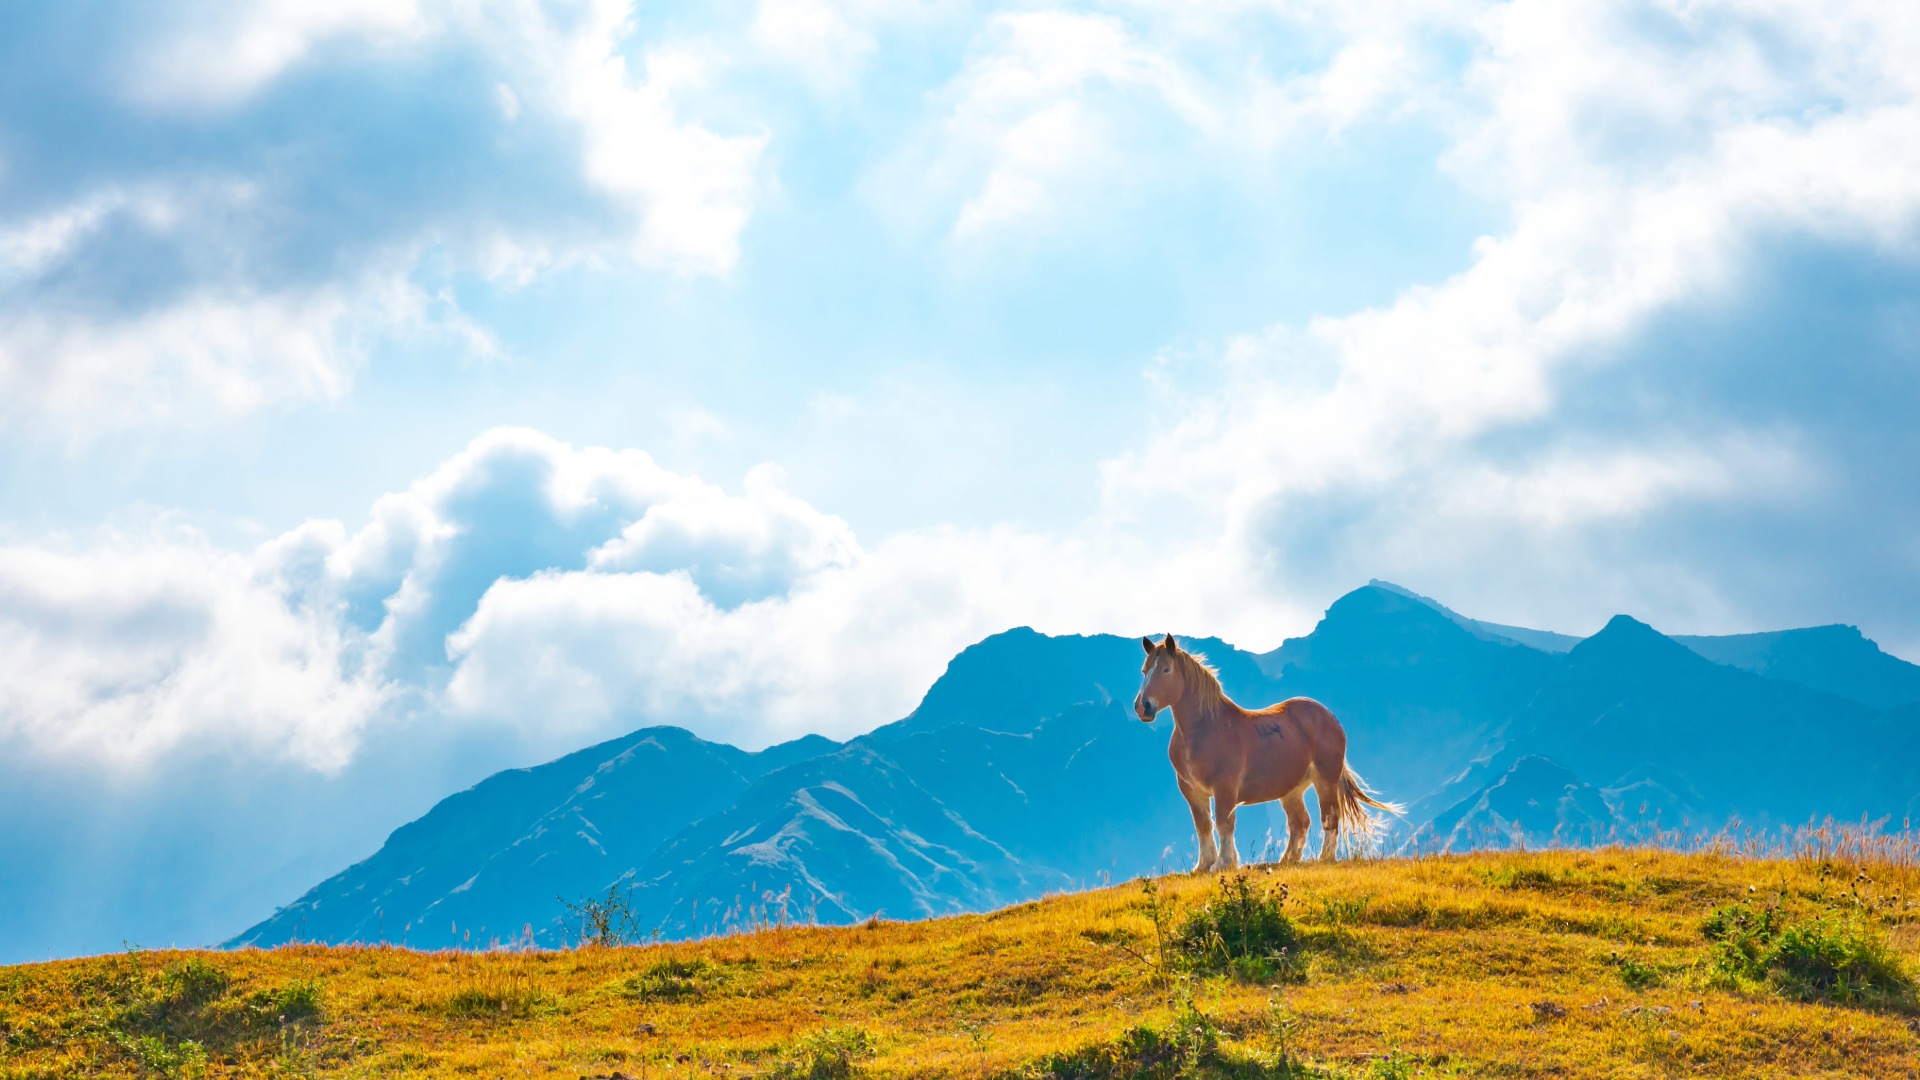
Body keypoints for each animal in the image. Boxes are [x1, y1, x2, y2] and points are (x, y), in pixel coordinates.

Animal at [1133, 633, 1401, 869]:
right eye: (1144, 671)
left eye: (1166, 670)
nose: (1142, 707)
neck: (1205, 729)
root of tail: (1328, 717)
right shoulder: (1191, 790)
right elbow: (1203, 826)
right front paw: (1203, 865)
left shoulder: (1225, 787)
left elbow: (1223, 823)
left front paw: (1222, 864)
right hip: (1292, 788)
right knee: (1300, 822)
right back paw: (1287, 860)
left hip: (1325, 779)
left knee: (1329, 816)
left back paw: (1324, 858)